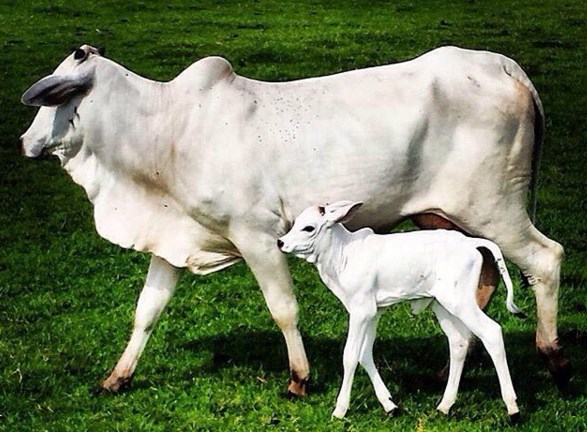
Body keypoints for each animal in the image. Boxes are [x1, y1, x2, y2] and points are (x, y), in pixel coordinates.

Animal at [20, 44, 568, 394]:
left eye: (55, 99)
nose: (25, 142)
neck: (166, 130)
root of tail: (504, 65)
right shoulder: (173, 240)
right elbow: (146, 311)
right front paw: (118, 377)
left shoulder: (258, 236)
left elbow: (283, 309)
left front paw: (299, 379)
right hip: (446, 220)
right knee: (483, 280)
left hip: (495, 208)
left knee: (546, 259)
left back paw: (552, 355)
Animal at [280, 202, 524, 422]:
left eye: (308, 228)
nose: (280, 242)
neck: (344, 255)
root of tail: (471, 243)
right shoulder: (373, 312)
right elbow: (364, 353)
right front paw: (389, 404)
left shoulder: (360, 311)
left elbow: (350, 355)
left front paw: (340, 409)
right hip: (442, 306)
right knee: (459, 342)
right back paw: (444, 406)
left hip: (461, 302)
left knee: (492, 332)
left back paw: (512, 408)